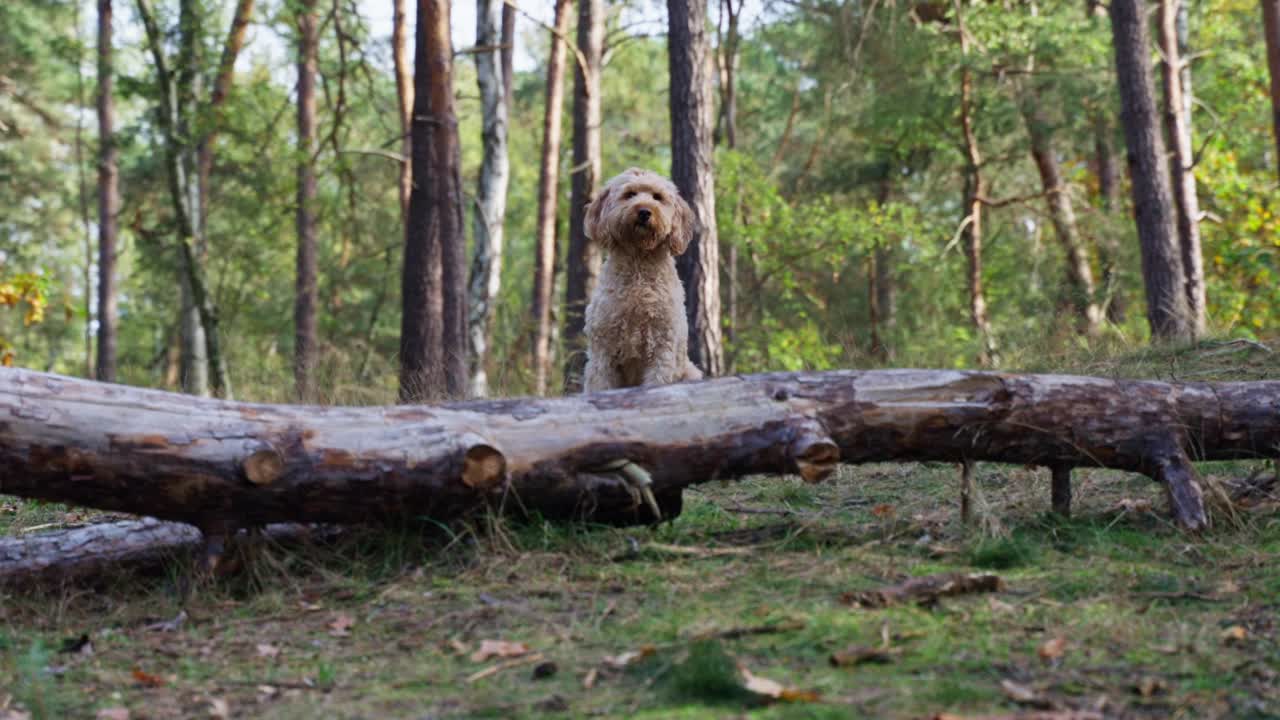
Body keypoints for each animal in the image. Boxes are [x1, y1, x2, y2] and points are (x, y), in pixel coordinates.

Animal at [586, 166, 706, 392]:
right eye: (629, 194)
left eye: (657, 197)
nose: (644, 211)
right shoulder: (603, 349)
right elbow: (600, 384)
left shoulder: (662, 346)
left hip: (691, 372)